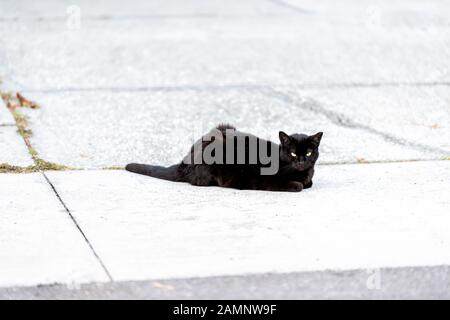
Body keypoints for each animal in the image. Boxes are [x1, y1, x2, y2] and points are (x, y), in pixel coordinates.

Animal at [125, 124, 324, 191]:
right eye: (292, 153)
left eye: (308, 153)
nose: (301, 161)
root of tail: (184, 163)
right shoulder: (268, 181)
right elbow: (298, 185)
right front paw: (299, 184)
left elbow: (309, 182)